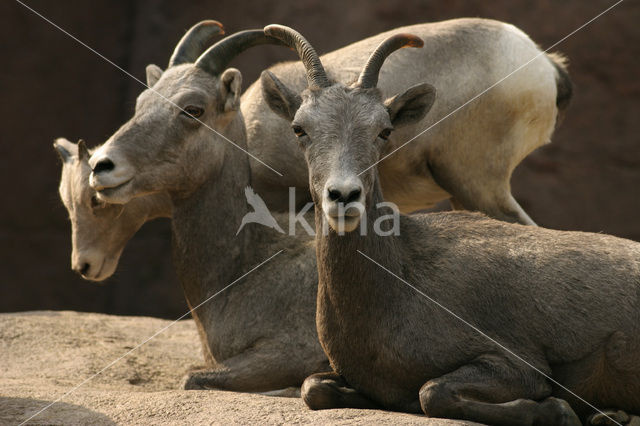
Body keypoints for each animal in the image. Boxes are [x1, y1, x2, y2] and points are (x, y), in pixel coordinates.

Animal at [82, 24, 330, 392]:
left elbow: (191, 378)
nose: (102, 166)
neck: (242, 267)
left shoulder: (290, 350)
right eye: (142, 102)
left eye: (193, 109)